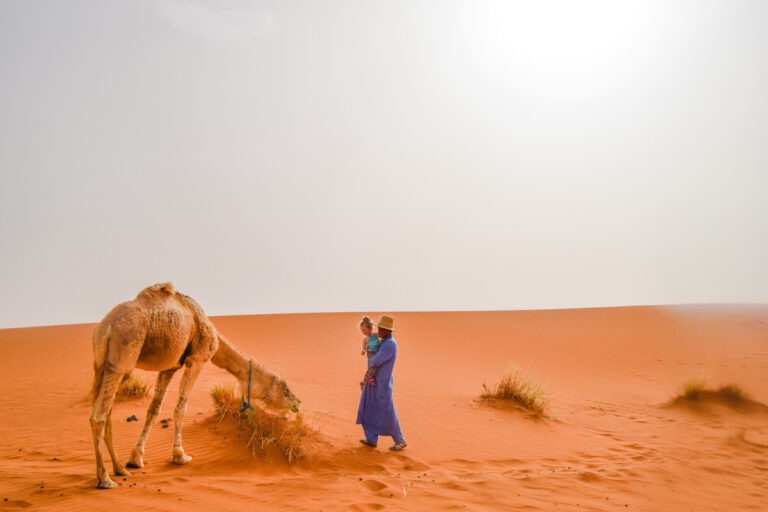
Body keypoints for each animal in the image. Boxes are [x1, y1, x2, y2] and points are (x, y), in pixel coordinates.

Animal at [86, 284, 296, 488]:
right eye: (286, 391)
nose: (298, 403)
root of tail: (106, 327)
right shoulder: (197, 359)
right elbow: (181, 407)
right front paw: (180, 456)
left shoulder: (169, 367)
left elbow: (153, 410)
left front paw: (135, 459)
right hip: (121, 360)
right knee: (98, 416)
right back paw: (105, 479)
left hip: (101, 366)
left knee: (107, 415)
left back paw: (120, 469)